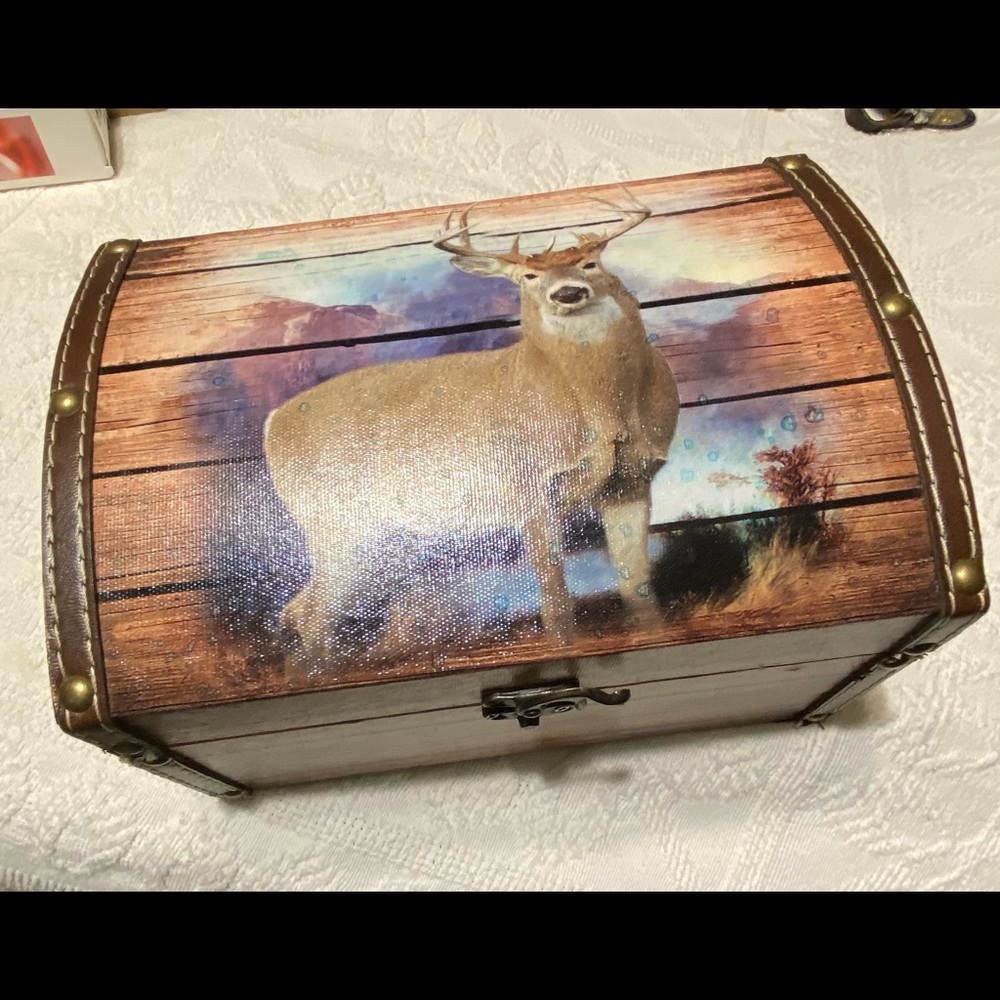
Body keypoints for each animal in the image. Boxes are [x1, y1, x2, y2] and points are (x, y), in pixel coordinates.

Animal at [263, 194, 679, 659]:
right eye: (529, 276)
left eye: (590, 263)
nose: (568, 292)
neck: (602, 408)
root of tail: (272, 421)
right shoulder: (527, 485)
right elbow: (556, 605)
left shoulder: (632, 481)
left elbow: (638, 590)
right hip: (332, 519)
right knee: (313, 618)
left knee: (300, 611)